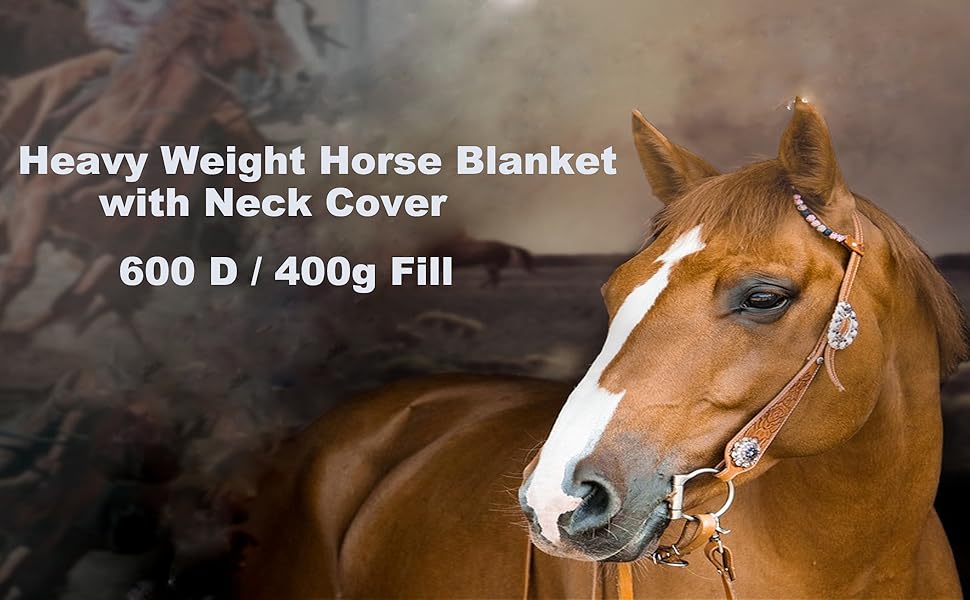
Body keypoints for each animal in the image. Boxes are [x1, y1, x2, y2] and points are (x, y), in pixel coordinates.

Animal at [0, 0, 295, 338]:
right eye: (262, 13)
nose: (295, 71)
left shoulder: (127, 243)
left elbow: (70, 302)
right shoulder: (35, 200)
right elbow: (21, 272)